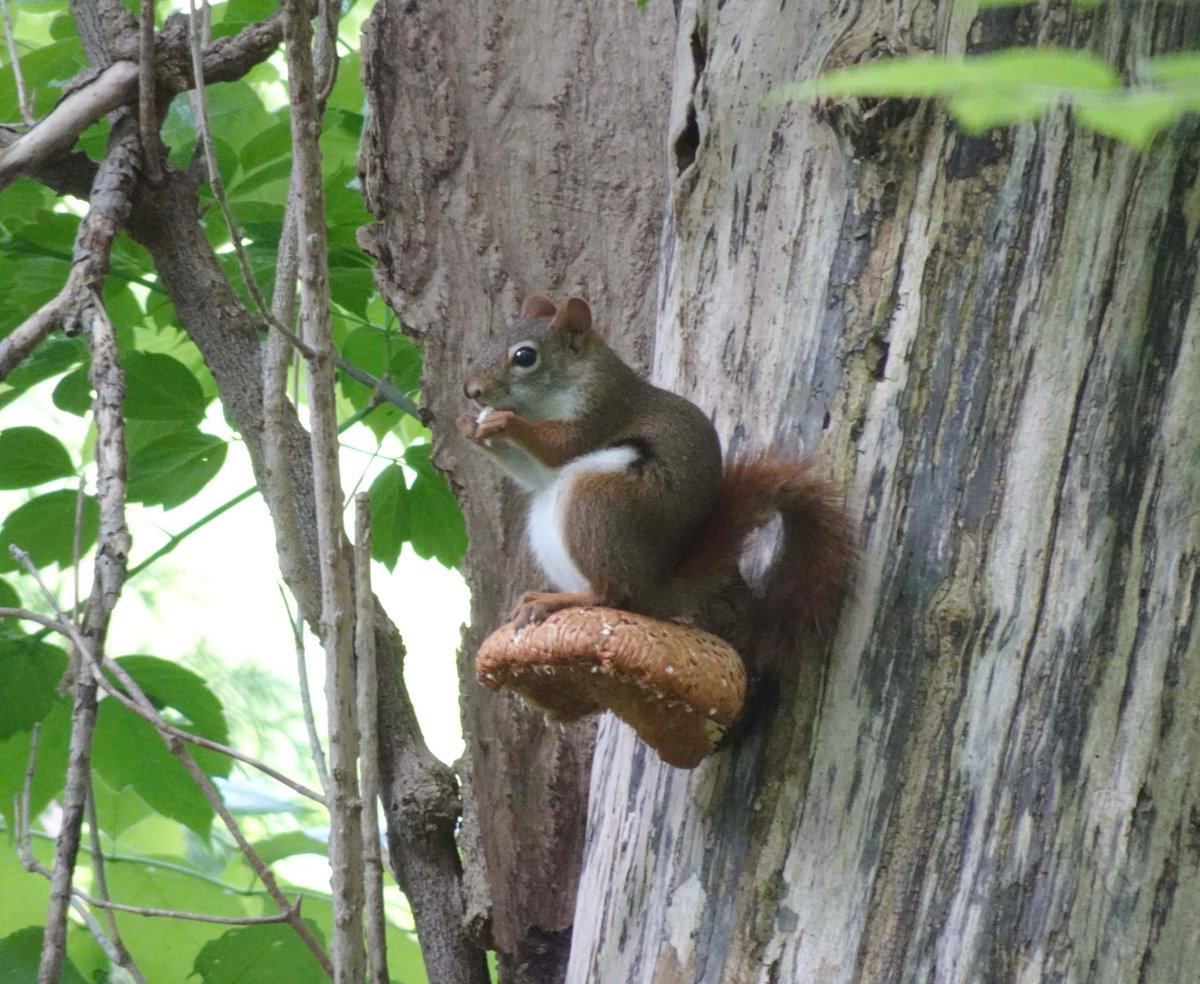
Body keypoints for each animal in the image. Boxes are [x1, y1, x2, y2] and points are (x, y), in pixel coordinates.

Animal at [457, 295, 853, 645]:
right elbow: (534, 473)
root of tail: (655, 591)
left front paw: (507, 422)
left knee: (611, 594)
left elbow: (560, 448)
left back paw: (556, 600)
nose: (471, 391)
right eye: (491, 341)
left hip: (596, 497)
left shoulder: (601, 412)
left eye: (524, 356)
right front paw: (467, 427)